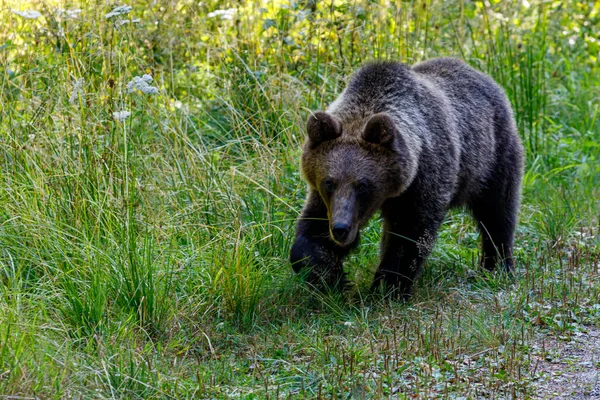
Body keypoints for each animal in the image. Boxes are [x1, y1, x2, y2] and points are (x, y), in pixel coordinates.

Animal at [290, 57, 524, 298]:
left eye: (363, 184)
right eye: (329, 182)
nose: (340, 228)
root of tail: (483, 77)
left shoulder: (423, 179)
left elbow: (408, 236)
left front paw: (388, 286)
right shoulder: (325, 198)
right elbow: (311, 234)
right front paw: (329, 276)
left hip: (491, 159)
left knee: (497, 213)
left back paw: (497, 267)